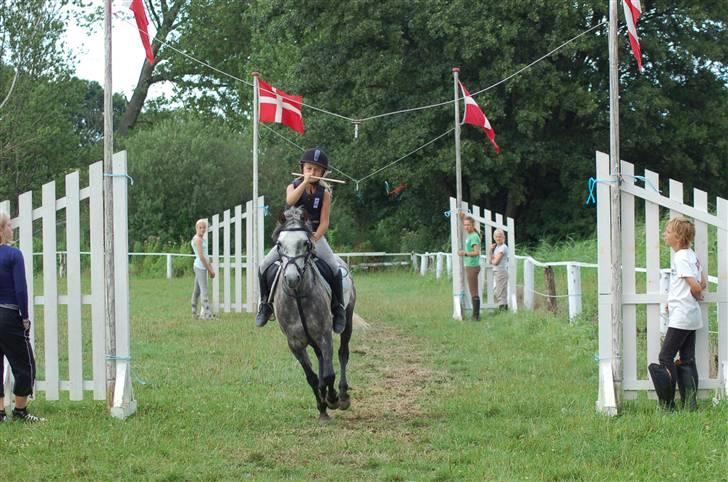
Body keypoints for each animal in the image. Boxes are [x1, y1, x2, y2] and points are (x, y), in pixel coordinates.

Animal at [270, 207, 356, 422]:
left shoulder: (325, 335)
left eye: (305, 243)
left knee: (343, 354)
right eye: (279, 244)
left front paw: (332, 399)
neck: (298, 295)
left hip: (347, 320)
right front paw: (322, 408)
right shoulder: (294, 343)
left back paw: (342, 396)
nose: (292, 278)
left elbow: (329, 373)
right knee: (320, 360)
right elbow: (311, 377)